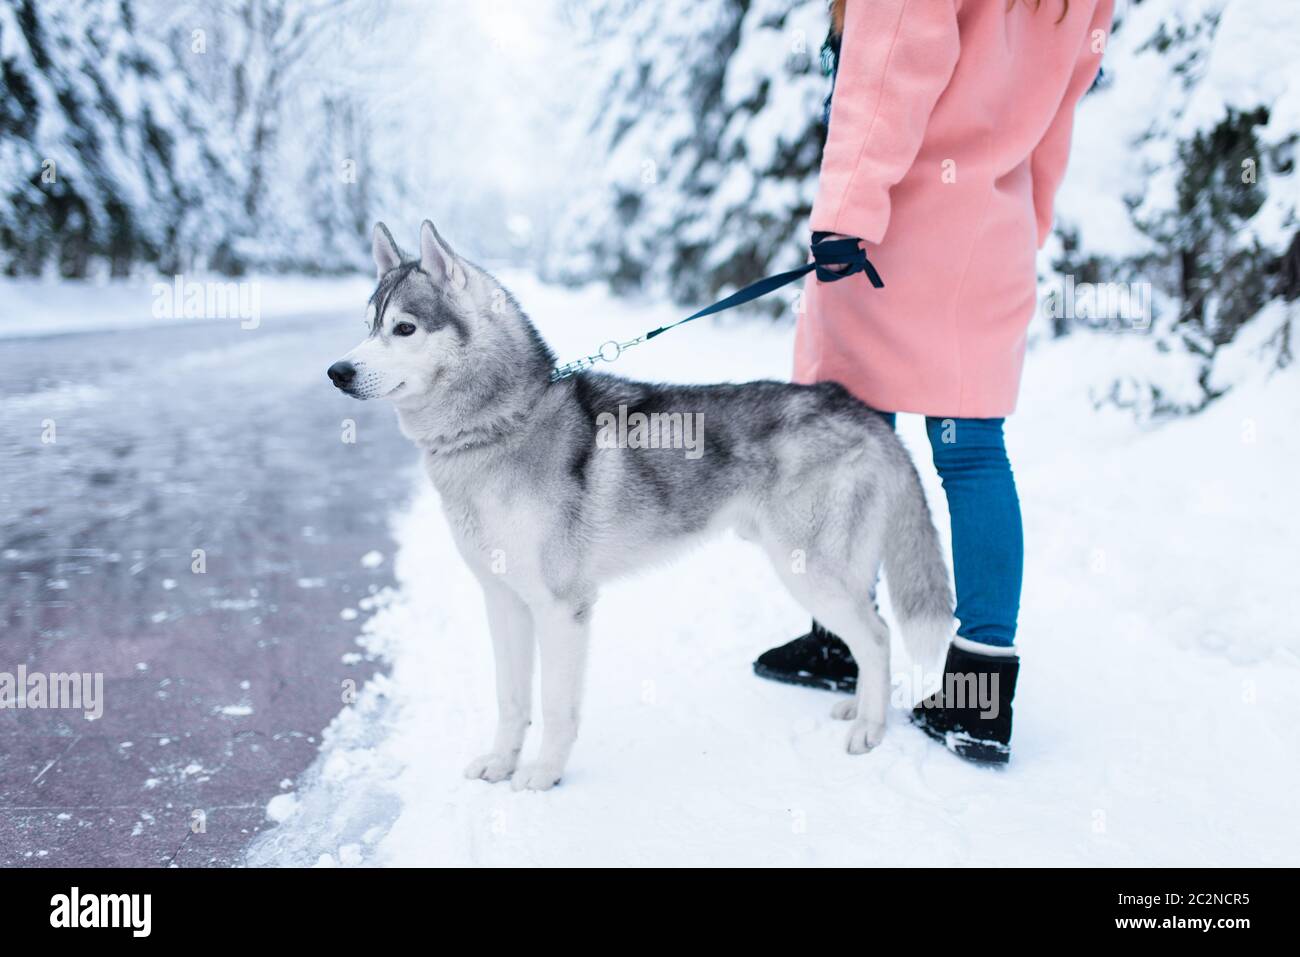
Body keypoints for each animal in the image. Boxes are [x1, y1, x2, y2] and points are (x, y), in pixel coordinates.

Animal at [330, 221, 951, 790]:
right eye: (367, 327)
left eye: (404, 327)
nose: (337, 371)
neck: (500, 425)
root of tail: (856, 407)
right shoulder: (503, 601)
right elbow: (511, 700)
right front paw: (502, 764)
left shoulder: (562, 608)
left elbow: (554, 705)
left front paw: (543, 775)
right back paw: (858, 705)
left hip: (811, 572)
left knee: (878, 636)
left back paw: (871, 727)